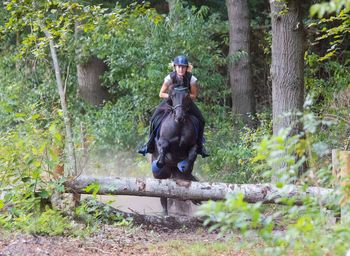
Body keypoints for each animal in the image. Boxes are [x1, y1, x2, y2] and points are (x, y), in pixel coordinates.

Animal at [151, 85, 200, 215]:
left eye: (187, 96)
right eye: (172, 95)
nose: (179, 116)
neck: (179, 126)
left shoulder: (193, 145)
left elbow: (191, 156)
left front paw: (184, 165)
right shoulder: (162, 142)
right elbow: (163, 149)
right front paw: (160, 161)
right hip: (161, 174)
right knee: (162, 191)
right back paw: (165, 212)